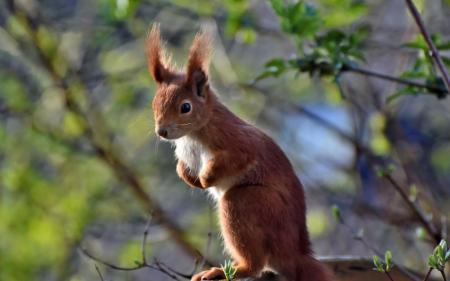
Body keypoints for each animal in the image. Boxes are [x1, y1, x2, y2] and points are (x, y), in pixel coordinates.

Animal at [146, 24, 332, 280]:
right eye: (154, 104)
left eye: (186, 107)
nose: (162, 131)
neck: (193, 133)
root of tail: (293, 254)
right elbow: (181, 167)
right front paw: (190, 177)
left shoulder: (237, 142)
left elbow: (236, 158)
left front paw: (206, 178)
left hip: (246, 203)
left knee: (255, 262)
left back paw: (226, 270)